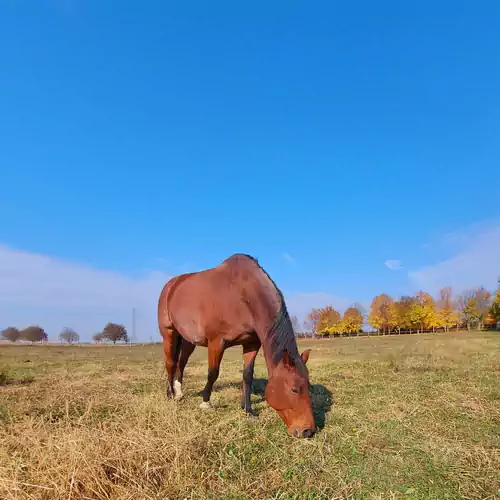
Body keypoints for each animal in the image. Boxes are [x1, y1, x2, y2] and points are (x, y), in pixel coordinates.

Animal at [157, 254, 316, 438]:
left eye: (308, 386)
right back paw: (171, 395)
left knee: (181, 363)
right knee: (171, 363)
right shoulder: (216, 342)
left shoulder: (251, 343)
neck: (241, 294)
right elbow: (213, 373)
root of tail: (170, 285)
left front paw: (247, 409)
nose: (307, 431)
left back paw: (179, 392)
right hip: (169, 333)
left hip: (188, 340)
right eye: (294, 389)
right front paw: (205, 403)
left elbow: (248, 375)